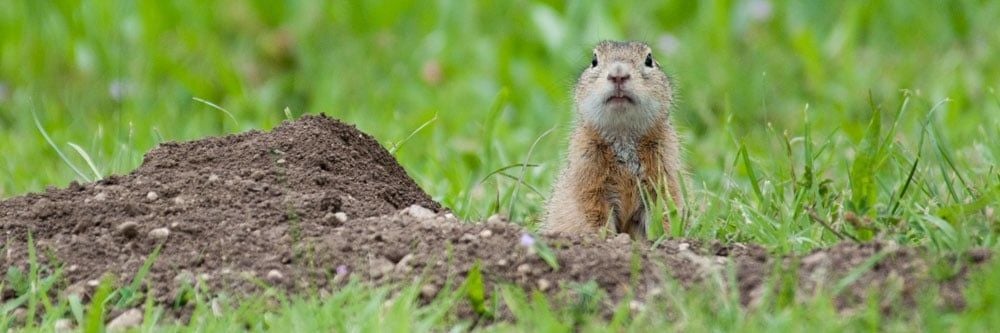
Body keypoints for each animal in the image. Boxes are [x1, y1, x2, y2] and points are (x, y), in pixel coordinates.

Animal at [544, 40, 684, 237]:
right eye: (594, 60)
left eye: (649, 59)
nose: (618, 73)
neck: (623, 134)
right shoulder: (587, 173)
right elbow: (594, 214)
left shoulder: (663, 170)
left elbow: (665, 209)